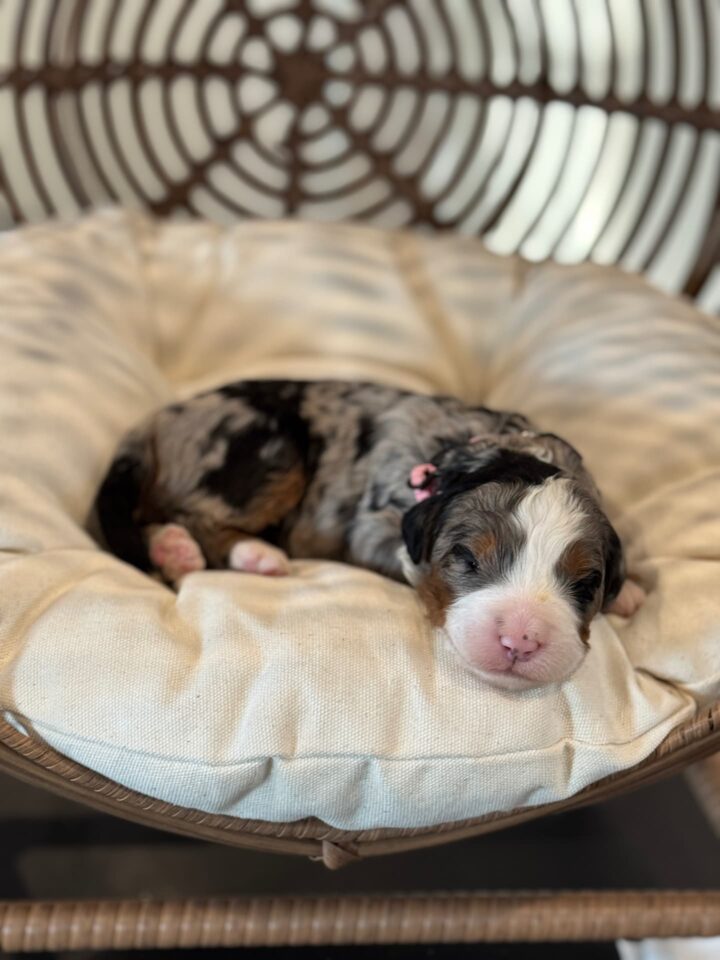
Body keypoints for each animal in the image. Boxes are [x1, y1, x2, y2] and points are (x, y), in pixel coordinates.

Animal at [94, 378, 640, 688]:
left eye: (586, 584)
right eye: (466, 558)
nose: (520, 642)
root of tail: (151, 426)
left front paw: (630, 592)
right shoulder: (374, 527)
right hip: (267, 448)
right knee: (194, 516)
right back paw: (235, 553)